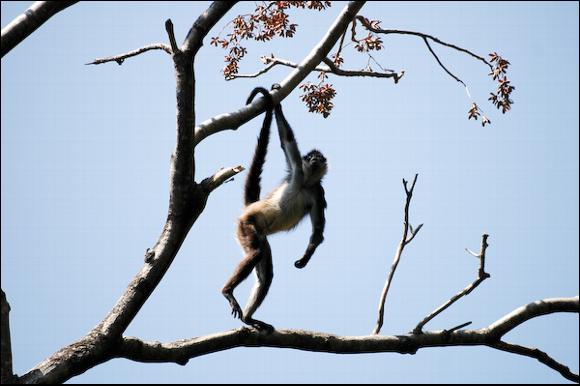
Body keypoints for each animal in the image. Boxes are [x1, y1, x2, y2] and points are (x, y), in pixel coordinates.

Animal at [222, 85, 328, 332]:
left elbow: (318, 231)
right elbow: (286, 139)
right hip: (247, 226)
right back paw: (227, 292)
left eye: (319, 157)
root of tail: (249, 209)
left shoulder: (318, 193)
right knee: (255, 254)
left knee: (266, 273)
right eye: (311, 156)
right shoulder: (297, 169)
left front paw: (305, 259)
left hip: (259, 236)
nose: (315, 158)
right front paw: (277, 103)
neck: (305, 183)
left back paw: (248, 319)